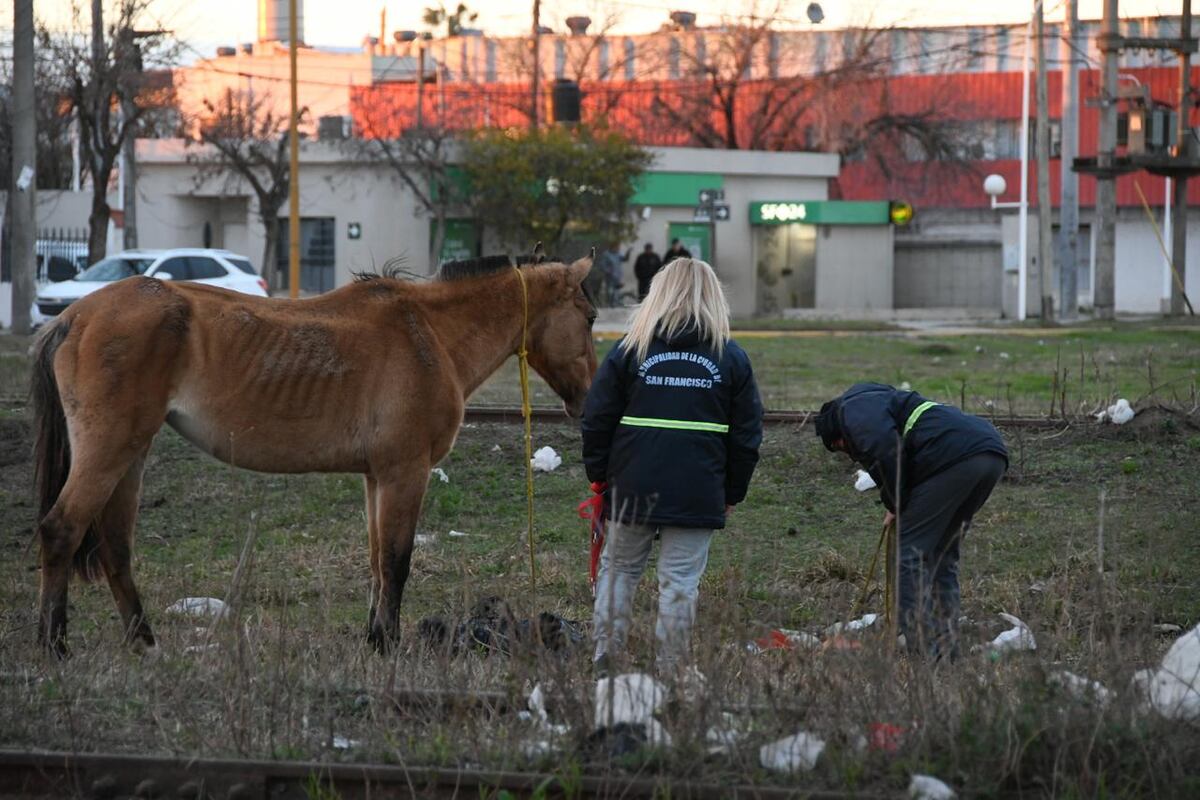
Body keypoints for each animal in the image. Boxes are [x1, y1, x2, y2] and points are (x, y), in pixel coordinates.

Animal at [30, 254, 597, 656]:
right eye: (590, 317)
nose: (587, 399)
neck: (428, 332)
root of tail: (75, 316)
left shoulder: (378, 477)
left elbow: (376, 561)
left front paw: (375, 637)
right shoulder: (405, 472)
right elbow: (397, 561)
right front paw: (388, 645)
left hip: (132, 455)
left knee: (115, 548)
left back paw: (145, 643)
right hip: (110, 450)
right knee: (62, 529)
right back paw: (54, 646)